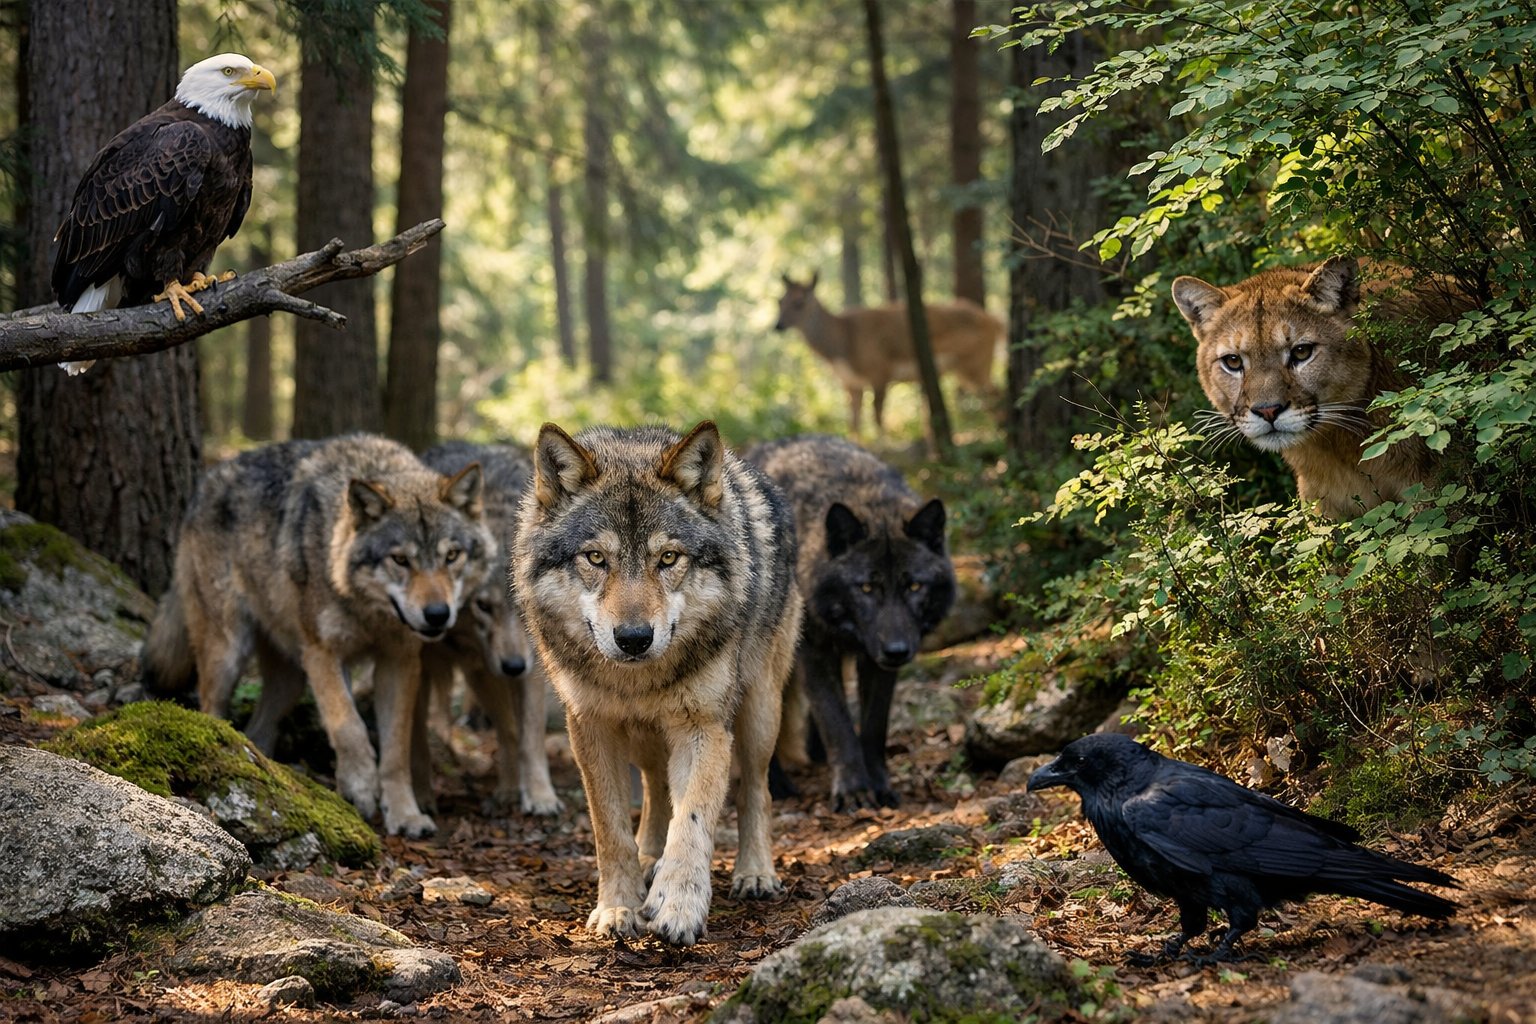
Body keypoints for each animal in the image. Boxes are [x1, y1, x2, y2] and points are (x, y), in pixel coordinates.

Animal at [142, 434, 493, 837]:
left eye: (452, 556)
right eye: (400, 560)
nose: (437, 615)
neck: (368, 611)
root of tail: (206, 482)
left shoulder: (400, 662)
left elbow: (395, 752)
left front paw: (405, 814)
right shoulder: (323, 653)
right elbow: (348, 726)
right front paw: (359, 788)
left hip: (291, 679)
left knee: (259, 728)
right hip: (229, 652)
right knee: (211, 706)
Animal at [415, 440, 563, 817]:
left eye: (522, 606)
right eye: (483, 606)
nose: (513, 666)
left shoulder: (533, 666)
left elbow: (530, 736)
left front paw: (540, 795)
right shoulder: (479, 665)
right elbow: (509, 731)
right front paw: (510, 789)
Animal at [514, 421, 802, 946]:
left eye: (668, 558)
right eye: (595, 558)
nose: (633, 638)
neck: (639, 682)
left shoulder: (703, 727)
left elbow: (693, 820)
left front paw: (679, 906)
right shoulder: (590, 727)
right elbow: (610, 829)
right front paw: (618, 907)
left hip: (759, 712)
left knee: (755, 789)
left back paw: (754, 873)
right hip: (643, 737)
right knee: (654, 788)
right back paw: (649, 856)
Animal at [746, 435, 955, 810]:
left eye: (914, 586)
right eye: (866, 587)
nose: (897, 651)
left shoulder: (874, 662)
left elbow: (872, 727)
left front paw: (880, 786)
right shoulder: (815, 653)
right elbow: (838, 723)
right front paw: (854, 791)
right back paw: (776, 784)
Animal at [773, 272, 1002, 436]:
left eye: (799, 302)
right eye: (780, 300)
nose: (778, 325)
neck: (843, 345)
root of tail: (997, 322)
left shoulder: (880, 370)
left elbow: (877, 416)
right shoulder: (851, 383)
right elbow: (854, 423)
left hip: (976, 363)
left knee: (995, 394)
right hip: (965, 370)